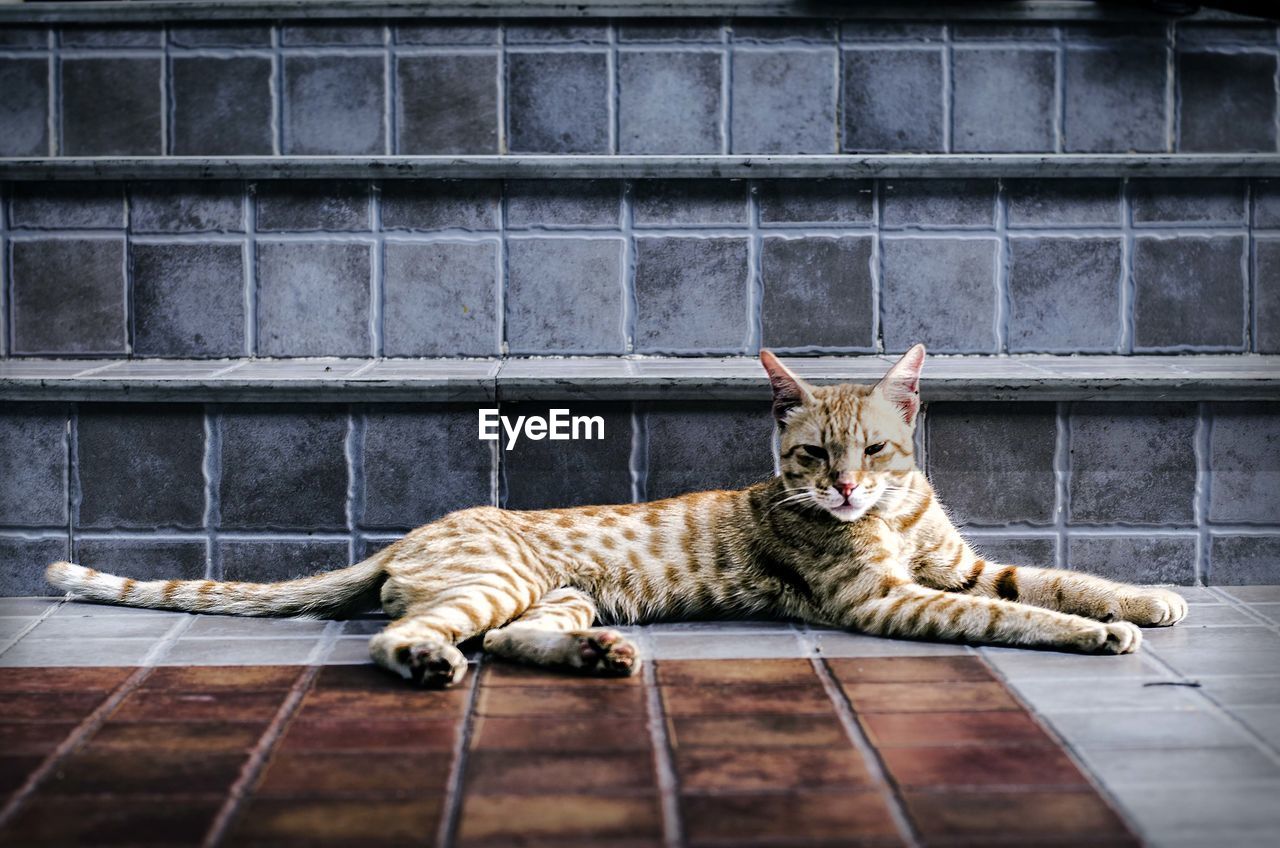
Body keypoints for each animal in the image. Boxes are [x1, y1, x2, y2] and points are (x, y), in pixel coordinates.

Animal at [49, 348, 1187, 686]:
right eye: (809, 456)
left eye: (873, 449)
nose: (844, 491)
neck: (896, 520)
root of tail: (409, 534)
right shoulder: (890, 602)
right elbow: (1020, 616)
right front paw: (1096, 634)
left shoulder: (957, 566)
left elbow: (1054, 577)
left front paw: (1146, 598)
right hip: (493, 578)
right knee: (406, 636)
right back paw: (427, 663)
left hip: (547, 590)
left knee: (511, 640)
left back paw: (595, 655)